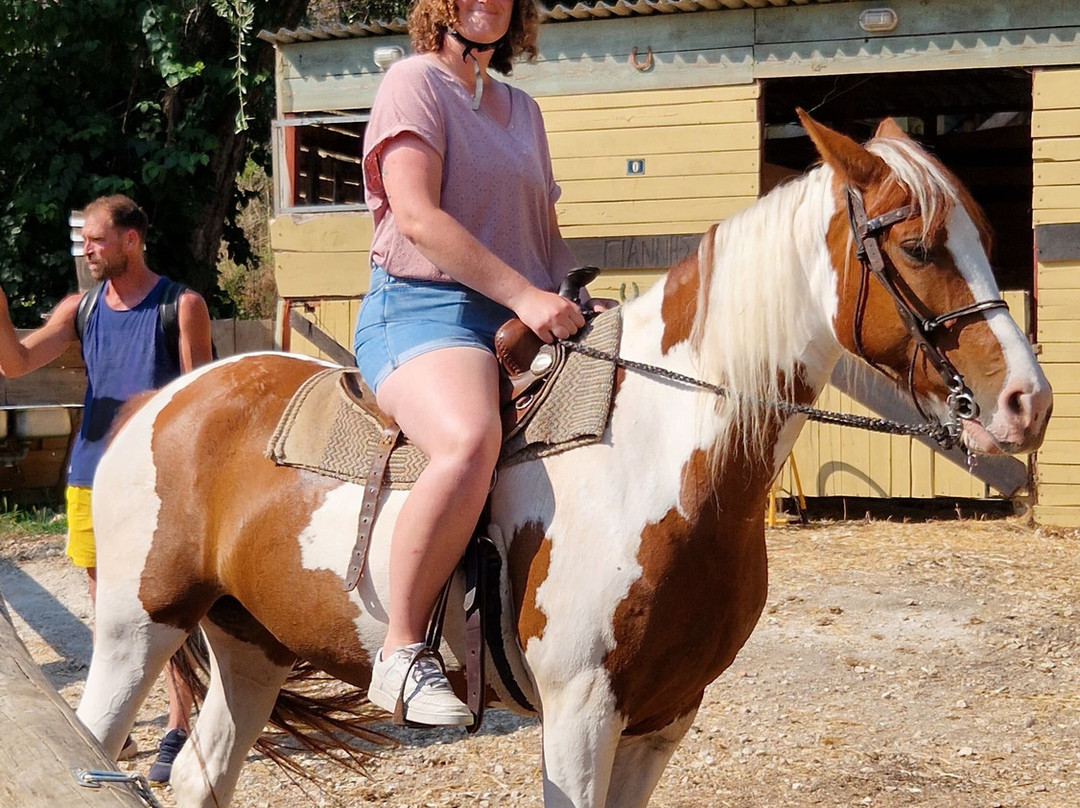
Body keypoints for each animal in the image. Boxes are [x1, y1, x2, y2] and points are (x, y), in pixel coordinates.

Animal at [76, 111, 1051, 808]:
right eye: (917, 245)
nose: (1027, 403)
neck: (659, 460)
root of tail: (163, 402)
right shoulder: (581, 717)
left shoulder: (663, 720)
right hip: (135, 630)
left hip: (252, 648)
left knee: (204, 777)